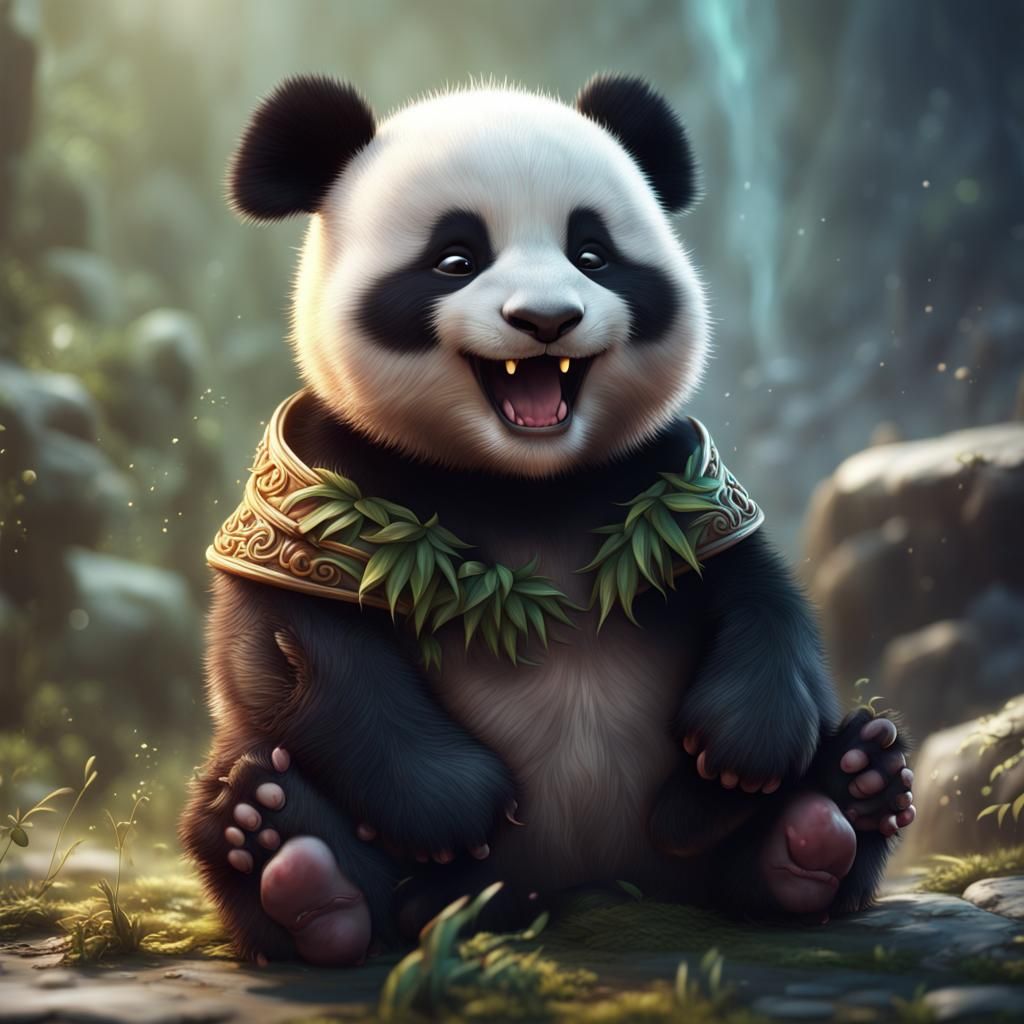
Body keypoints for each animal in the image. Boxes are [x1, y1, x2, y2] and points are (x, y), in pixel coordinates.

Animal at [179, 73, 916, 966]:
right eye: (456, 258)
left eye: (590, 253)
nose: (546, 320)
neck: (524, 481)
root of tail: (588, 885)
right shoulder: (317, 492)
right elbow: (299, 649)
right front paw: (457, 810)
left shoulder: (669, 478)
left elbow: (758, 592)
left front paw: (739, 754)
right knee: (251, 789)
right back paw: (304, 867)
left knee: (798, 821)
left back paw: (830, 812)